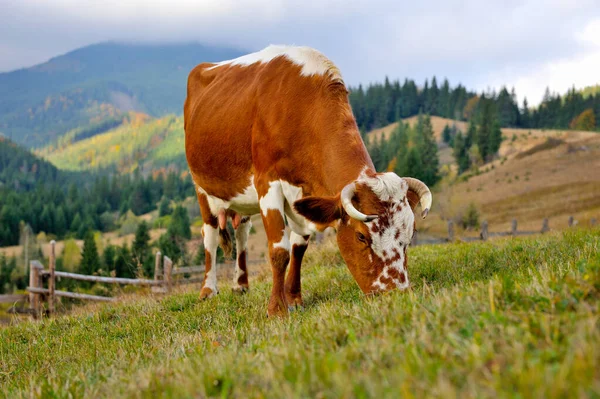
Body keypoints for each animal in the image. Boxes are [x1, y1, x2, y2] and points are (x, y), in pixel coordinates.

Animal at [183, 45, 432, 318]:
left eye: (410, 234)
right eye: (361, 236)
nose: (395, 293)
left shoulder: (304, 194)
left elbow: (299, 245)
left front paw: (294, 298)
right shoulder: (268, 183)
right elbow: (279, 249)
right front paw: (277, 309)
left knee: (241, 233)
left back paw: (241, 285)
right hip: (201, 187)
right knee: (209, 234)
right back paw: (208, 290)